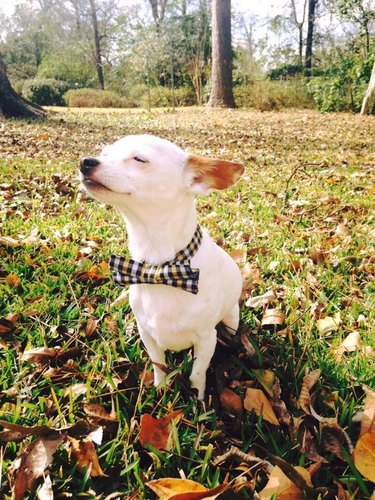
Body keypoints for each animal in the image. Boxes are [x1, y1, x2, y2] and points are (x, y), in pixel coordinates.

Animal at [80, 134, 244, 398]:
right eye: (104, 153)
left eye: (139, 159)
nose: (86, 161)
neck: (159, 268)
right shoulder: (147, 334)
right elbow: (159, 364)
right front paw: (160, 389)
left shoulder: (207, 339)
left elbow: (197, 373)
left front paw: (198, 399)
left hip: (231, 321)